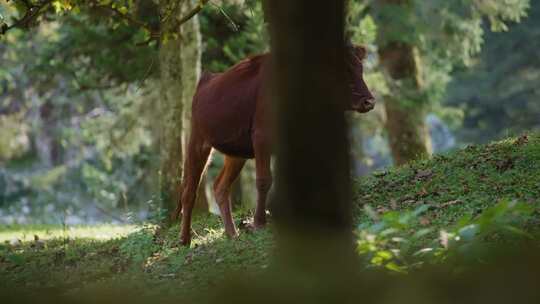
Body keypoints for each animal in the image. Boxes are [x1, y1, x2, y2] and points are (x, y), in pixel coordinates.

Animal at [173, 44, 376, 246]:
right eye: (343, 69)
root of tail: (207, 79)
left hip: (236, 152)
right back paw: (185, 239)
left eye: (361, 68)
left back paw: (232, 234)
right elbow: (264, 180)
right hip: (198, 141)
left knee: (220, 187)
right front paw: (259, 222)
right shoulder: (262, 137)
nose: (369, 101)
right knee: (189, 190)